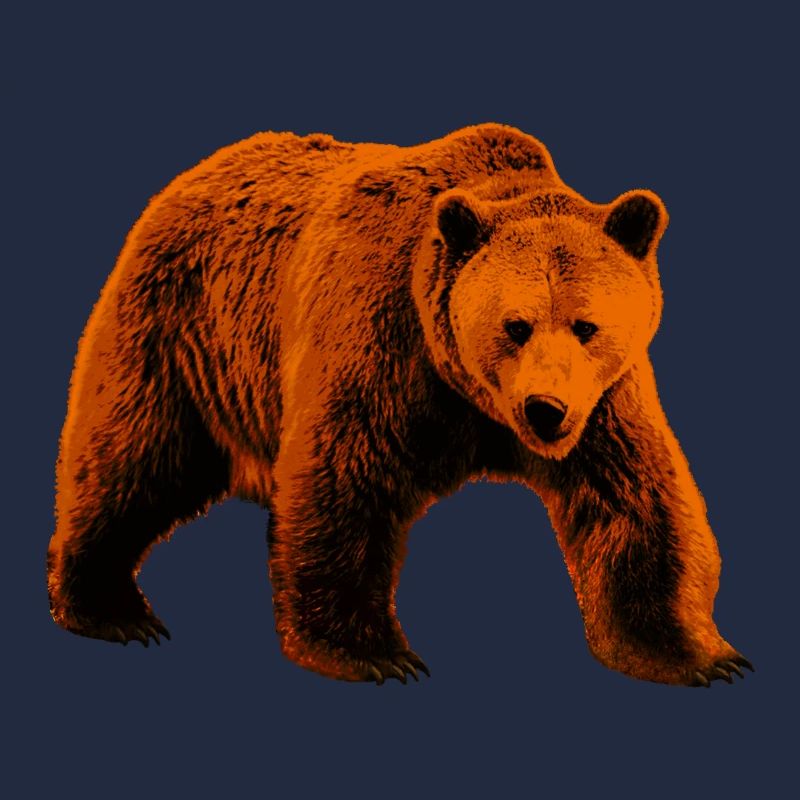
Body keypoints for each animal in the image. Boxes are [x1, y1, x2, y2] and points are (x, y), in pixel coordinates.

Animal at [48, 123, 752, 687]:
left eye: (586, 325)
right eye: (516, 325)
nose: (544, 409)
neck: (472, 396)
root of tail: (194, 173)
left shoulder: (604, 402)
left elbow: (636, 503)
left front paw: (701, 656)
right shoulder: (383, 340)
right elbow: (344, 481)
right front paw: (375, 654)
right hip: (185, 330)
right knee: (133, 454)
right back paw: (110, 608)